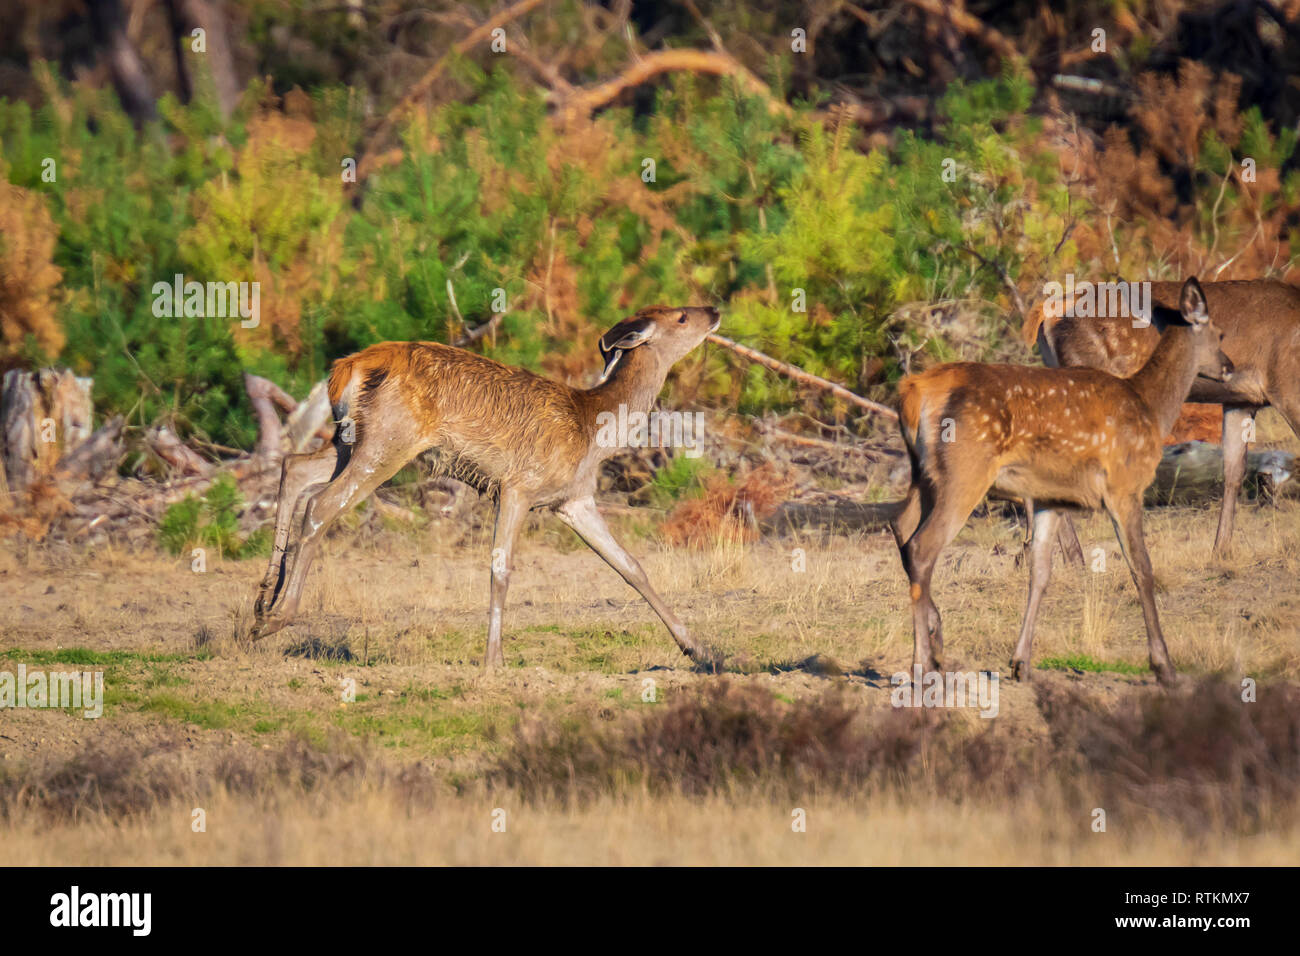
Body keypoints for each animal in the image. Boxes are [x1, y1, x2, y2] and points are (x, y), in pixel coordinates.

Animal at [253, 310, 722, 671]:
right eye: (681, 316)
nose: (713, 309)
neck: (594, 432)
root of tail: (344, 369)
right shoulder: (517, 485)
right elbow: (501, 569)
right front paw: (495, 660)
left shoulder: (573, 500)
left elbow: (630, 566)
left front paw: (700, 650)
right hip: (389, 441)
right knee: (322, 503)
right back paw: (276, 617)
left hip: (350, 440)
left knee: (295, 467)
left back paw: (262, 601)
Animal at [894, 277, 1227, 686]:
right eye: (1221, 334)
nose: (1229, 367)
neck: (1151, 408)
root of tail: (912, 391)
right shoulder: (1124, 485)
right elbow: (1142, 568)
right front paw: (1164, 667)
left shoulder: (1048, 497)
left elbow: (1040, 572)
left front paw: (1021, 663)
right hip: (964, 470)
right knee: (923, 546)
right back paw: (923, 664)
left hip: (923, 474)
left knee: (902, 528)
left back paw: (936, 644)